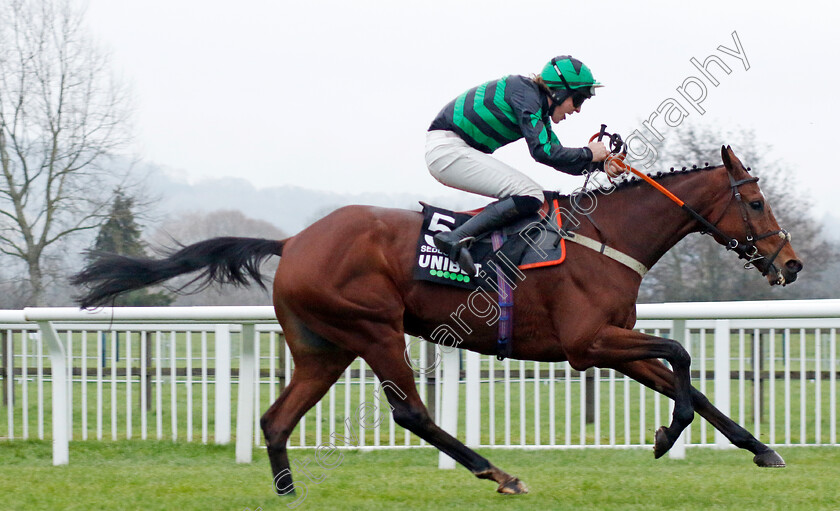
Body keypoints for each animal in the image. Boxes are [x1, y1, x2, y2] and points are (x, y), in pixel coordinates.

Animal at [72, 147, 800, 496]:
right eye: (756, 201)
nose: (790, 264)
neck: (606, 238)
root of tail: (293, 241)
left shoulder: (611, 342)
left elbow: (686, 378)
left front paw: (759, 447)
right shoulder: (587, 343)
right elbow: (680, 355)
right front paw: (664, 435)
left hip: (323, 347)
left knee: (277, 419)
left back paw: (287, 493)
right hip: (374, 329)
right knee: (411, 413)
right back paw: (499, 473)